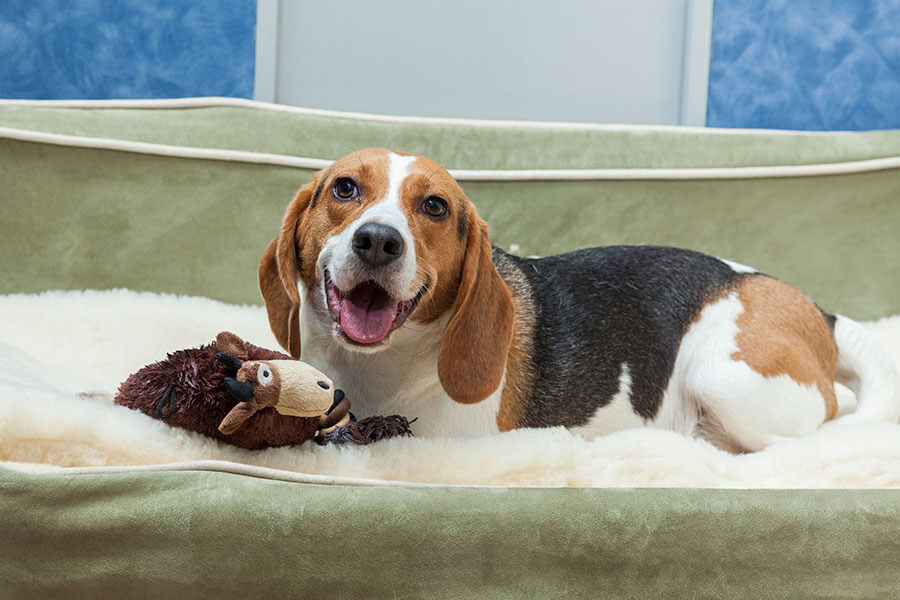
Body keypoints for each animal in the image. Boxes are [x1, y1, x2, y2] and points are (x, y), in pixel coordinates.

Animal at [260, 148, 900, 452]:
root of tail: (819, 312)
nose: (378, 240)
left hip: (725, 378)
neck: (379, 369)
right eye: (344, 188)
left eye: (435, 206)